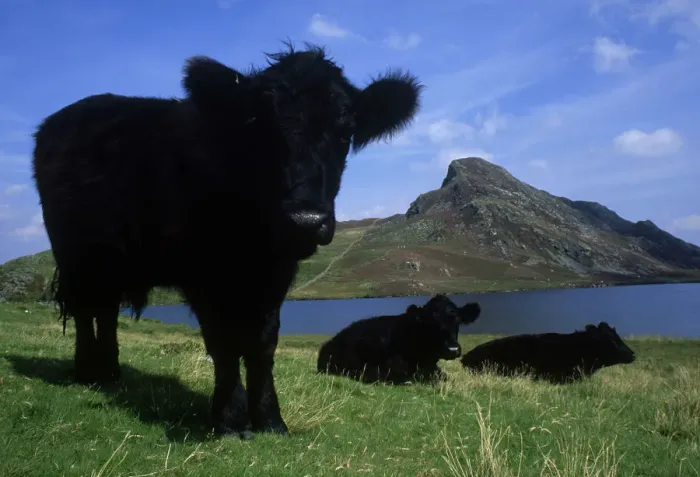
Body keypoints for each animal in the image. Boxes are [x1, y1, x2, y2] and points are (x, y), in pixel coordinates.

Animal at [31, 42, 423, 440]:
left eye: (345, 130)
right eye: (262, 128)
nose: (305, 220)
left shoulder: (276, 274)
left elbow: (263, 343)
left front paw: (270, 419)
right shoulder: (202, 272)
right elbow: (223, 342)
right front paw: (230, 420)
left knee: (106, 312)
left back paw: (111, 373)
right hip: (74, 254)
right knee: (85, 311)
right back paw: (87, 372)